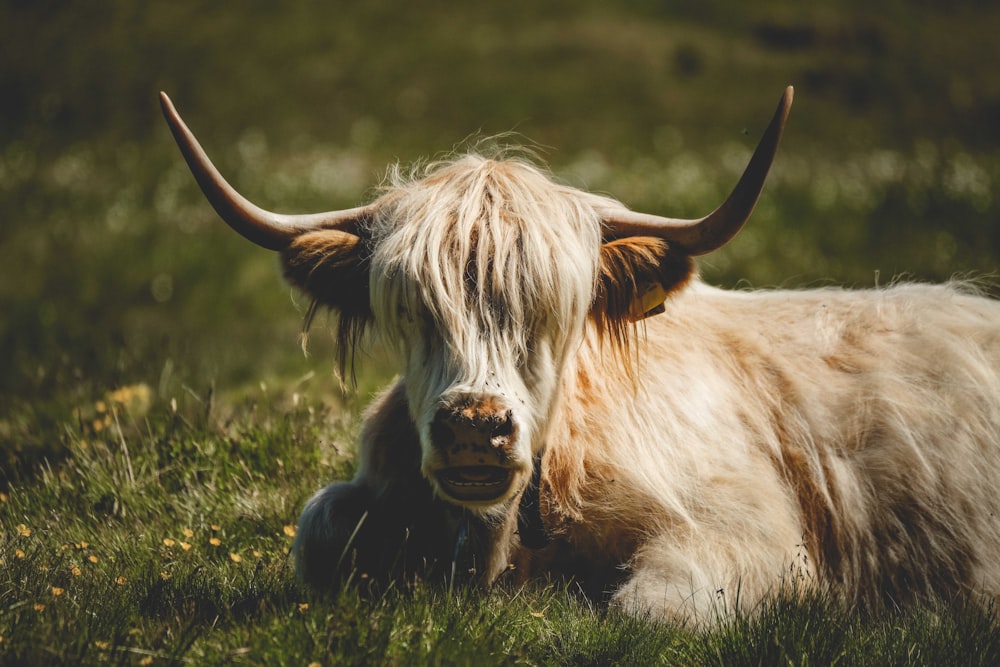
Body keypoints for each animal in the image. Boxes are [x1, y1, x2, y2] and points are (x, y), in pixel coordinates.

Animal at [162, 88, 1000, 628]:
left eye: (552, 311)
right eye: (410, 310)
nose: (475, 425)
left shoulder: (752, 534)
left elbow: (650, 611)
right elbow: (320, 528)